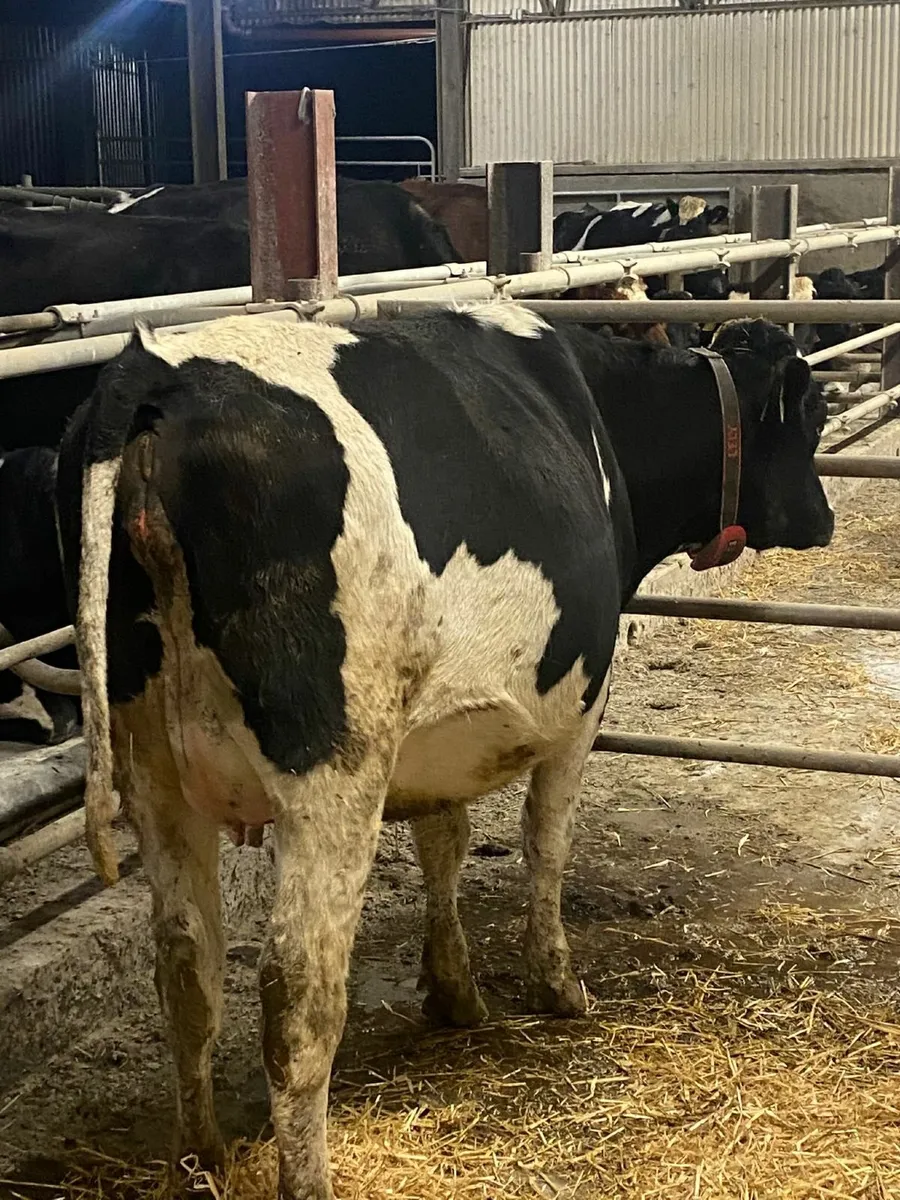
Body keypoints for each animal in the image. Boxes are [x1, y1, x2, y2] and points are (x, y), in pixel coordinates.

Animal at [56, 307, 832, 1199]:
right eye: (815, 416)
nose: (824, 517)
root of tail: (152, 372)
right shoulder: (585, 703)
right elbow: (545, 842)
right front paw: (557, 983)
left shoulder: (436, 731)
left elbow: (444, 842)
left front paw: (454, 990)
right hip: (334, 767)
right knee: (296, 995)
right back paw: (305, 1177)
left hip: (151, 770)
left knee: (186, 968)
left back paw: (202, 1159)